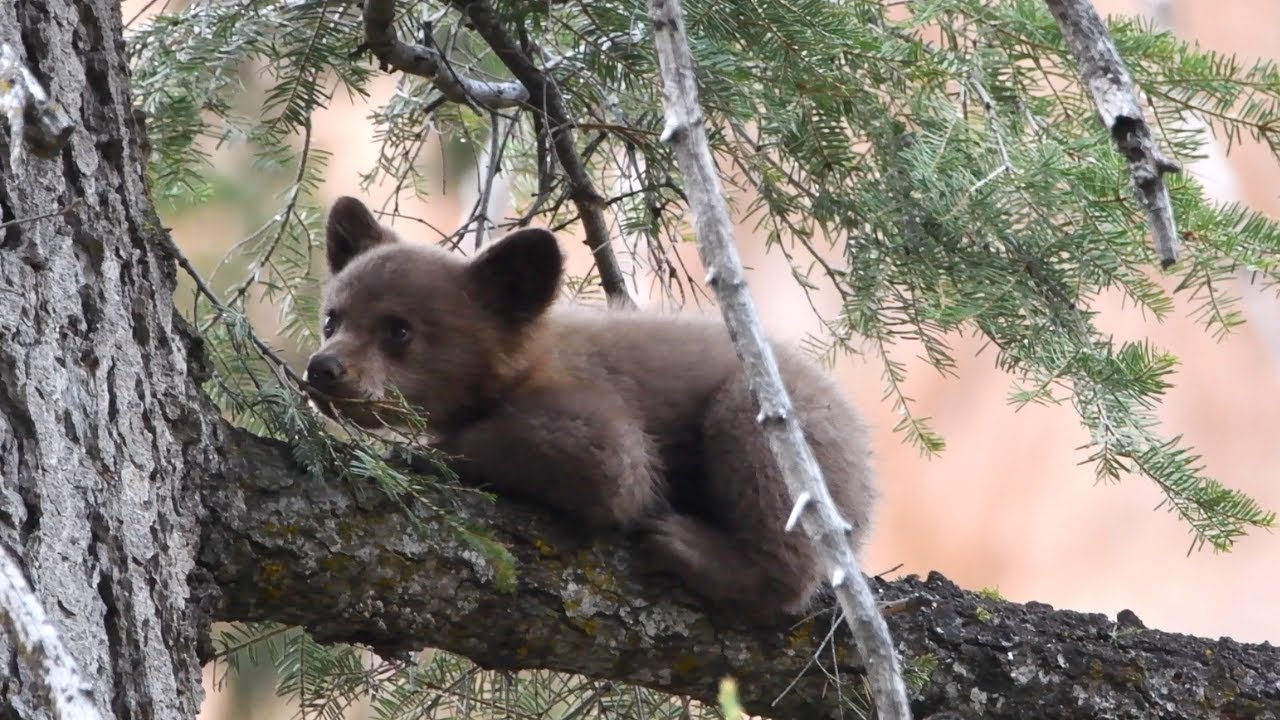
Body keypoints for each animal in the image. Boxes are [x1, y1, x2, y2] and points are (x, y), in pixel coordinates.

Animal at [305, 196, 877, 624]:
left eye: (398, 328)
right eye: (333, 318)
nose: (323, 369)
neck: (525, 365)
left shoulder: (586, 395)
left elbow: (610, 464)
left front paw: (430, 453)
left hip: (783, 420)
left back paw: (689, 545)